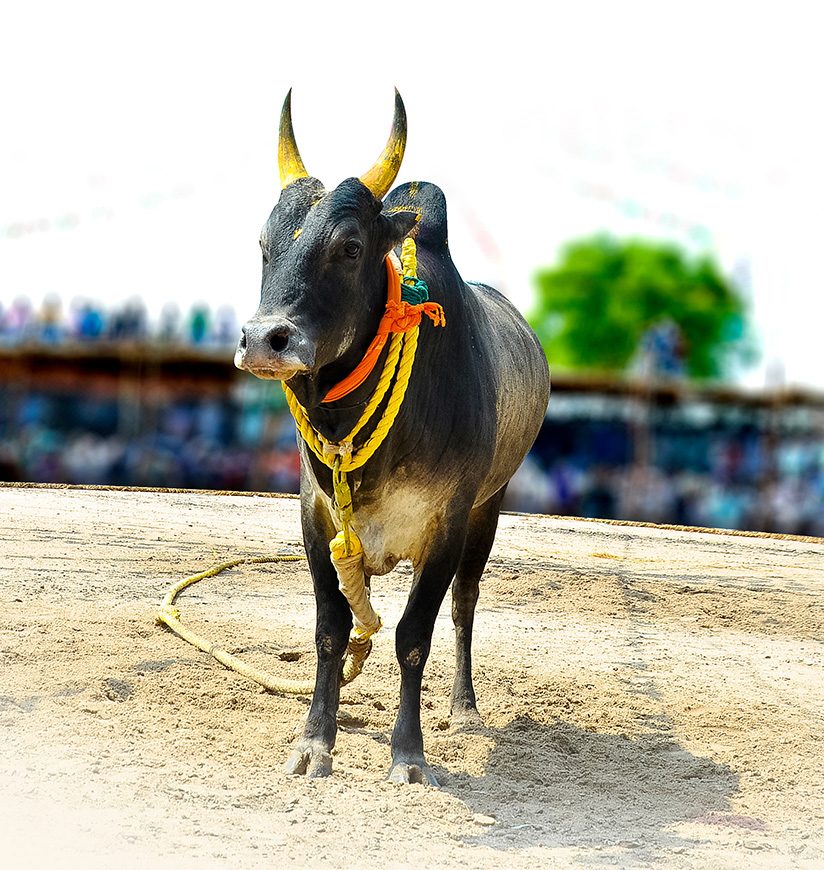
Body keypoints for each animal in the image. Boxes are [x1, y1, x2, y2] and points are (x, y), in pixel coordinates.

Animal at [235, 92, 552, 788]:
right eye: (264, 244)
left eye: (351, 247)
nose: (264, 339)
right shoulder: (318, 517)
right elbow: (331, 631)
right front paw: (315, 742)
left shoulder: (447, 523)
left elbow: (413, 637)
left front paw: (408, 753)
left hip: (489, 509)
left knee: (464, 606)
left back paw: (463, 707)